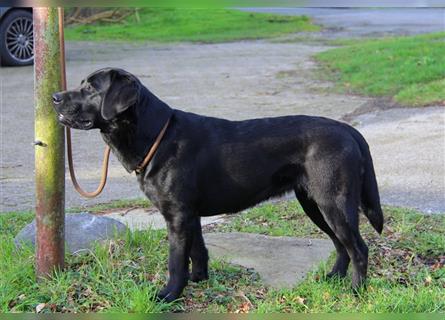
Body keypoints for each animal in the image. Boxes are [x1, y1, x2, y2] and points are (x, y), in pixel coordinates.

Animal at [53, 67, 384, 302]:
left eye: (90, 88)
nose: (54, 97)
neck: (156, 135)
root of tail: (348, 130)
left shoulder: (177, 215)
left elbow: (176, 260)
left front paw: (169, 295)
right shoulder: (190, 214)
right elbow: (198, 251)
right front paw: (199, 280)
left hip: (333, 202)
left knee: (359, 248)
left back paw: (356, 292)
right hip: (314, 204)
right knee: (341, 245)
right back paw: (335, 278)